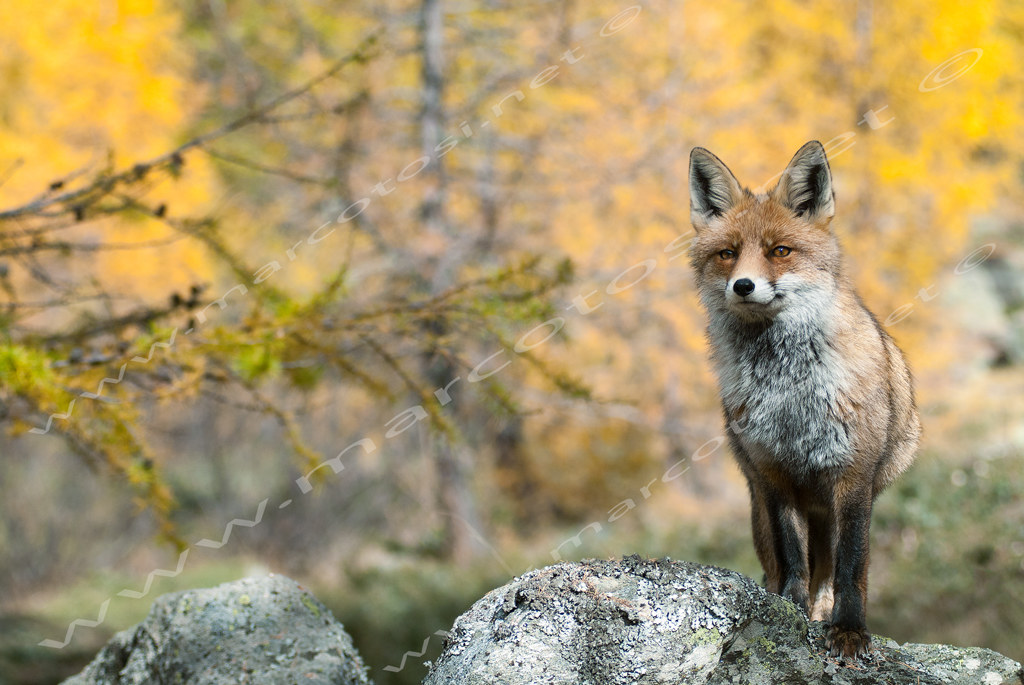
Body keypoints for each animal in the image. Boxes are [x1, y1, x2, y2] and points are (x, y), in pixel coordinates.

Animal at [687, 141, 921, 659]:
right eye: (727, 254)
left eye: (780, 251)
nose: (743, 286)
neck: (789, 391)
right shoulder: (775, 475)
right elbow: (793, 561)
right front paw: (787, 616)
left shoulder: (852, 475)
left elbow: (851, 570)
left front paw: (849, 630)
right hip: (760, 510)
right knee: (778, 568)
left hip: (832, 508)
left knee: (831, 573)